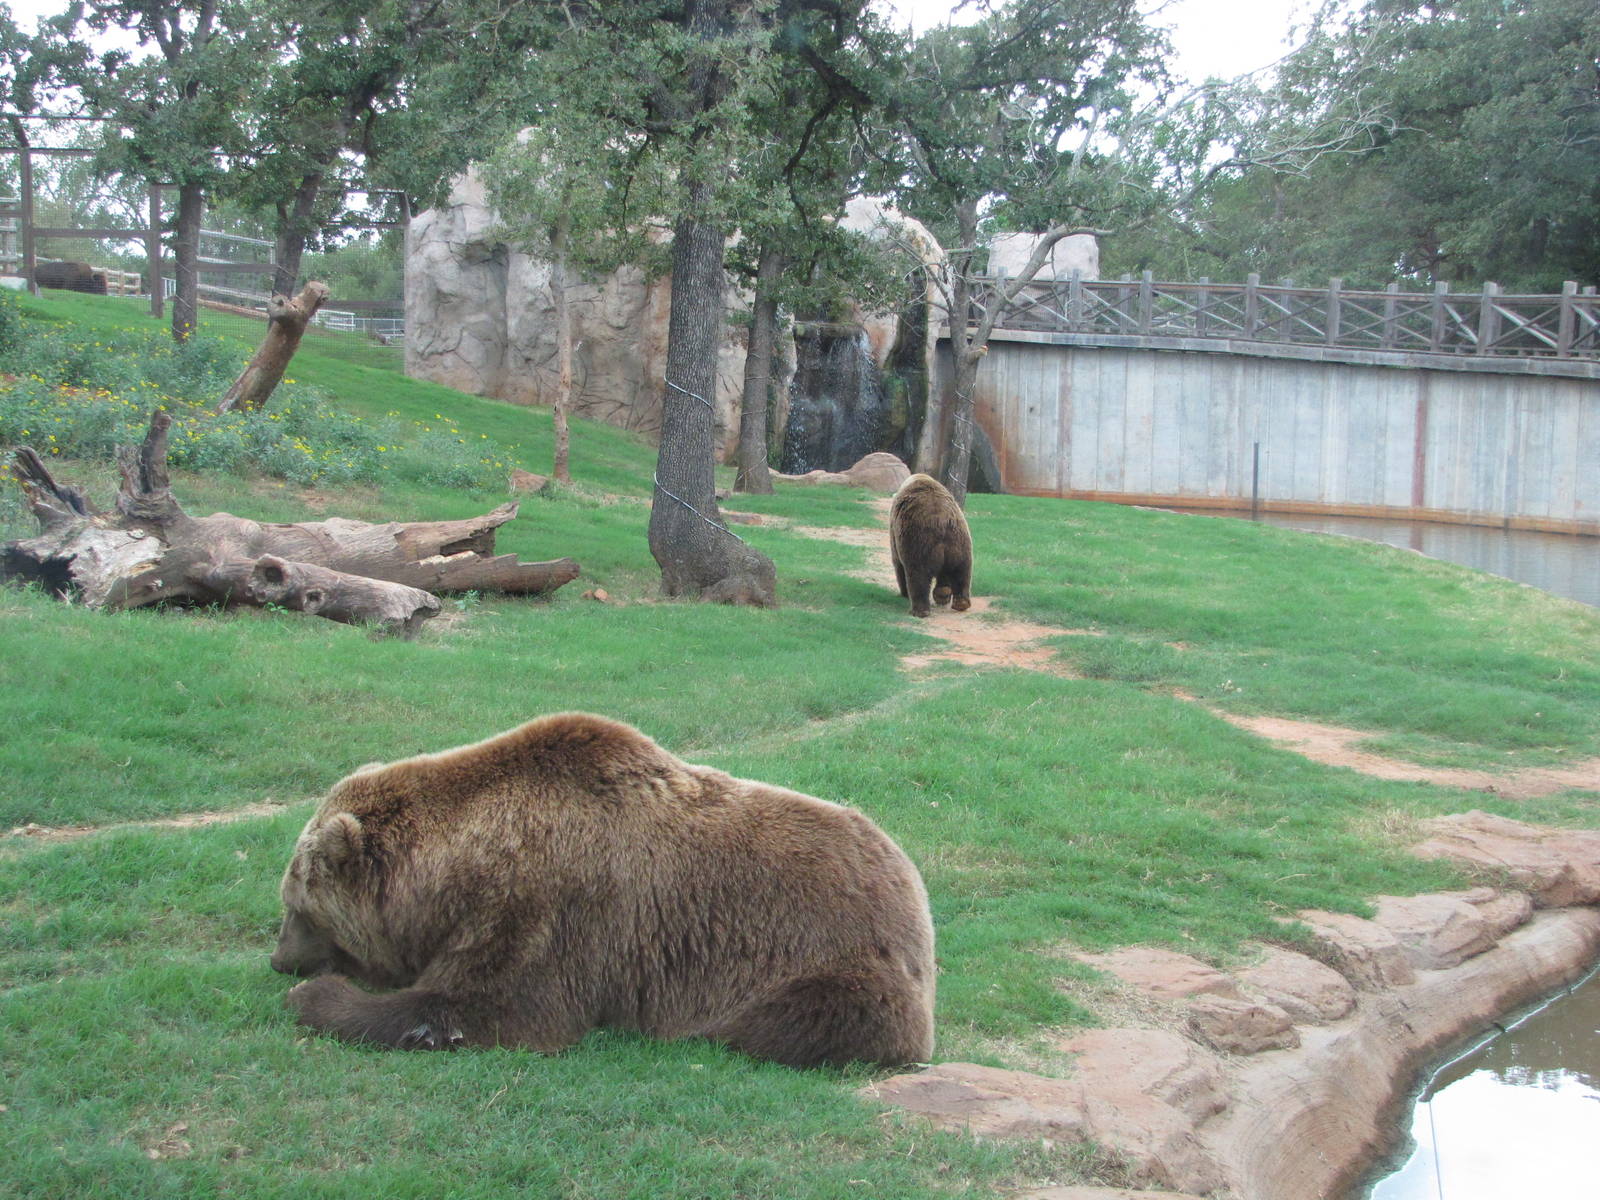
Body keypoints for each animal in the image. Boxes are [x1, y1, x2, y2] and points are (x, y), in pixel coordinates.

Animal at [271, 713, 936, 1069]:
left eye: (296, 907)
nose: (279, 959)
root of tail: (912, 883)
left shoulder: (544, 908)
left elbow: (487, 1007)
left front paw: (316, 998)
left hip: (831, 964)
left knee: (795, 1018)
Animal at [888, 473, 973, 618]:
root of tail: (942, 521)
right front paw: (942, 594)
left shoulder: (895, 532)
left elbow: (898, 563)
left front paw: (904, 592)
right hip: (959, 542)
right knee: (961, 571)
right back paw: (961, 603)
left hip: (919, 540)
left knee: (918, 574)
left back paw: (919, 610)